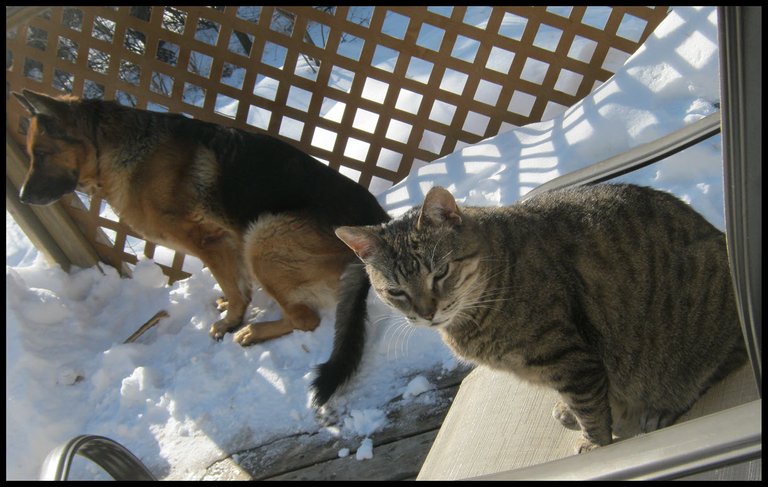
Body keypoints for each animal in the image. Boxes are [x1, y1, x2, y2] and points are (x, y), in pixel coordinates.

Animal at [16, 89, 390, 406]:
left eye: (42, 154)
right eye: (32, 155)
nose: (21, 197)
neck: (111, 149)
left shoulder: (206, 240)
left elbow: (234, 288)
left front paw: (231, 322)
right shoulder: (228, 242)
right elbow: (237, 284)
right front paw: (229, 305)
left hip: (262, 236)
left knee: (306, 319)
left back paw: (254, 332)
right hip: (255, 239)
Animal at [334, 184, 744, 454]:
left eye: (441, 273)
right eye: (395, 291)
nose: (426, 313)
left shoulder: (571, 359)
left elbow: (592, 413)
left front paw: (594, 445)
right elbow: (585, 403)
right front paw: (572, 412)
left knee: (716, 366)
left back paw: (660, 408)